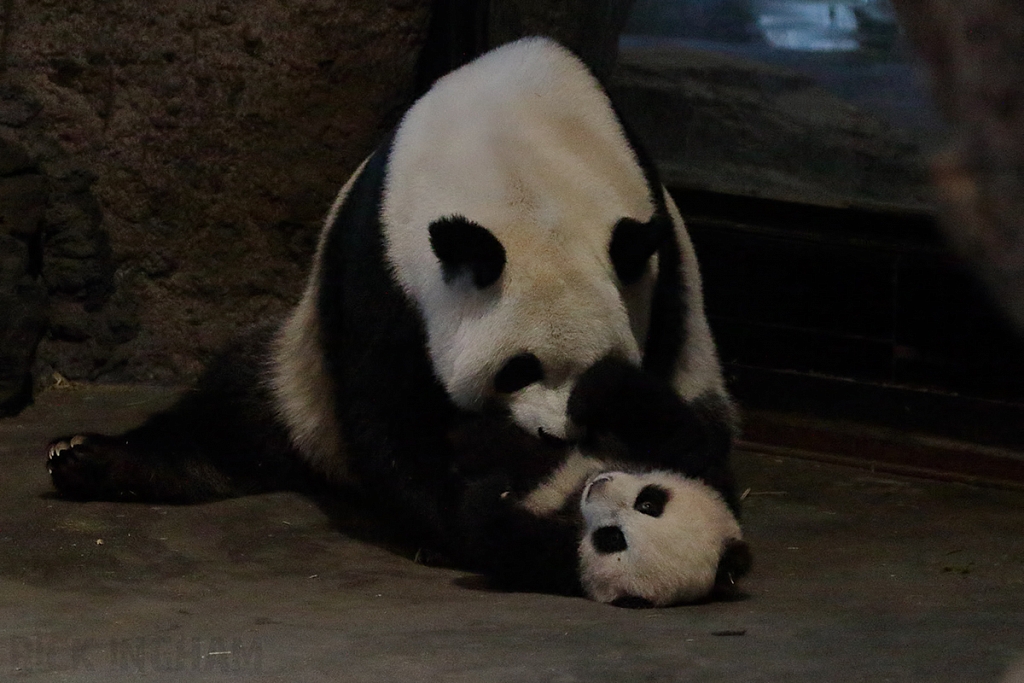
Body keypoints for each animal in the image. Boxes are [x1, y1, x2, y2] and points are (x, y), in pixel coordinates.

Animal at [46, 37, 753, 606]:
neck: (521, 164)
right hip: (300, 376)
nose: (556, 436)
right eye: (517, 370)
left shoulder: (659, 281)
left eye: (595, 364)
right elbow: (389, 415)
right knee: (230, 417)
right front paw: (451, 526)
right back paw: (90, 458)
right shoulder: (379, 261)